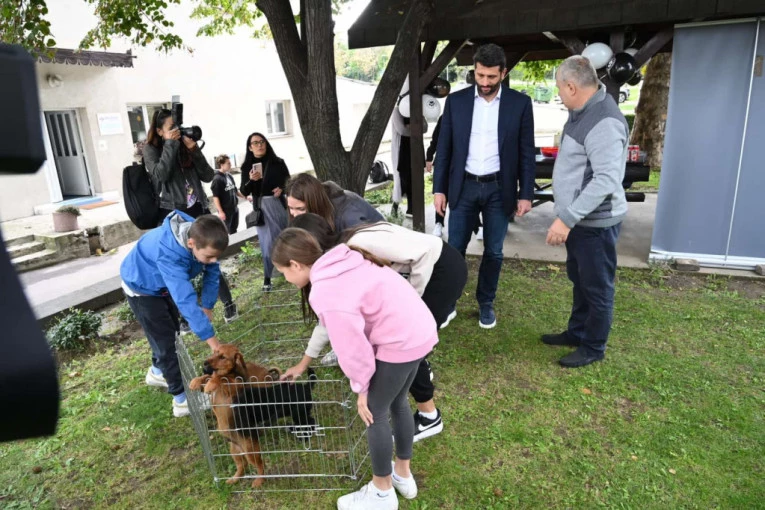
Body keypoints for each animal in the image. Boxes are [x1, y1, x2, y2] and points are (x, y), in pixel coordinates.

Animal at [188, 344, 317, 487]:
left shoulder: (233, 389)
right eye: (214, 352)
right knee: (242, 466)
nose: (204, 363)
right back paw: (234, 479)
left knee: (260, 464)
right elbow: (207, 378)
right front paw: (196, 381)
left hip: (251, 450)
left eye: (222, 357)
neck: (231, 372)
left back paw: (259, 481)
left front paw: (212, 382)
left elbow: (221, 378)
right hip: (235, 451)